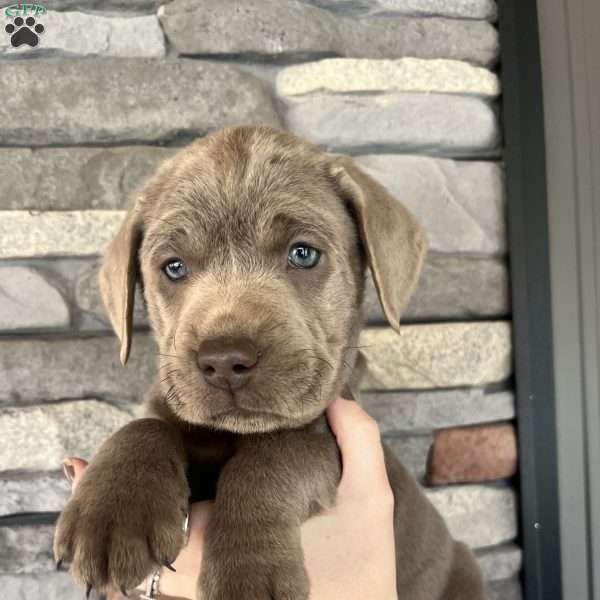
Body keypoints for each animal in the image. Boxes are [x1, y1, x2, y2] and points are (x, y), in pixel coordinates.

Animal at [54, 124, 486, 596]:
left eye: (303, 253)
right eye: (173, 267)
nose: (225, 360)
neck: (231, 435)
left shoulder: (326, 438)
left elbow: (275, 453)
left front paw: (248, 569)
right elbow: (143, 426)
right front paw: (112, 515)